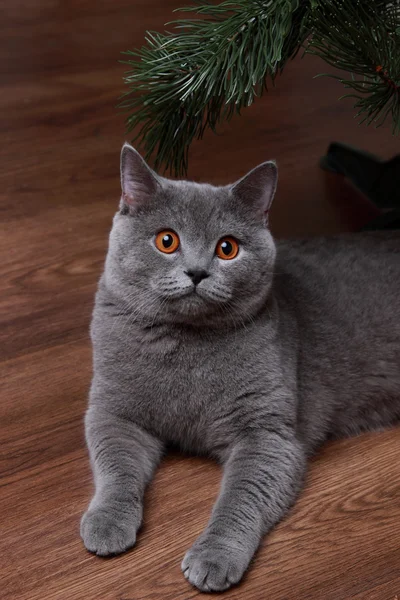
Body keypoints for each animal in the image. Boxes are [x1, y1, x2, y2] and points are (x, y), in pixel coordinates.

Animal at [81, 143, 400, 592]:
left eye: (227, 248)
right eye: (166, 241)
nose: (197, 272)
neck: (187, 345)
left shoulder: (267, 434)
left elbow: (240, 497)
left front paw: (214, 557)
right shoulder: (113, 410)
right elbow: (115, 465)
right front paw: (107, 523)